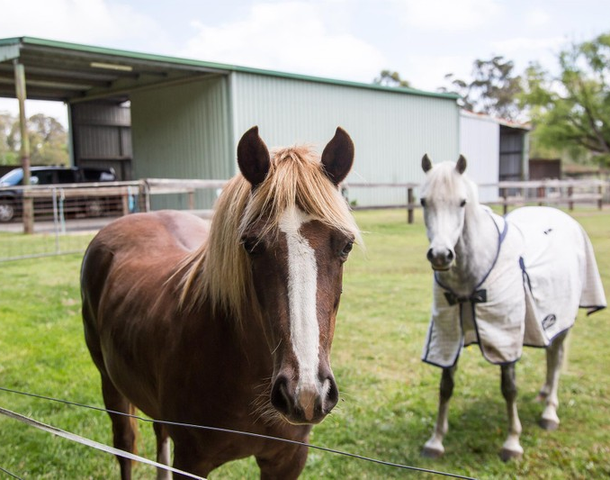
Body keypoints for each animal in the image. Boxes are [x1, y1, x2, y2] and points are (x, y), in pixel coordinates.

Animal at [78, 125, 358, 478]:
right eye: (250, 245)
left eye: (346, 245)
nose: (305, 393)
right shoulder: (191, 461)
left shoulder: (288, 459)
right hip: (110, 385)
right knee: (125, 446)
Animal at [418, 155, 604, 462]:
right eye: (423, 201)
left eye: (462, 202)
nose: (441, 255)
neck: (470, 279)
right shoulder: (447, 334)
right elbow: (445, 387)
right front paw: (435, 441)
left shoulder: (503, 335)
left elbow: (509, 388)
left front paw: (512, 442)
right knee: (550, 356)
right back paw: (543, 394)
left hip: (562, 321)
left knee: (556, 359)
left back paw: (549, 412)